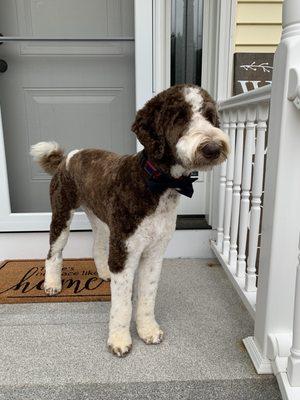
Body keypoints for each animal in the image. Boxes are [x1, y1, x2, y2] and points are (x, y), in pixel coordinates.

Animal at [30, 84, 229, 356]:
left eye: (209, 116)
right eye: (180, 118)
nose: (213, 148)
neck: (156, 183)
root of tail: (67, 157)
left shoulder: (153, 253)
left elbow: (147, 296)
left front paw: (148, 330)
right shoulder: (125, 253)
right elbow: (123, 305)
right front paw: (119, 340)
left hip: (103, 221)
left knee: (98, 246)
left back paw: (104, 272)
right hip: (62, 213)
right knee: (53, 252)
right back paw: (52, 284)